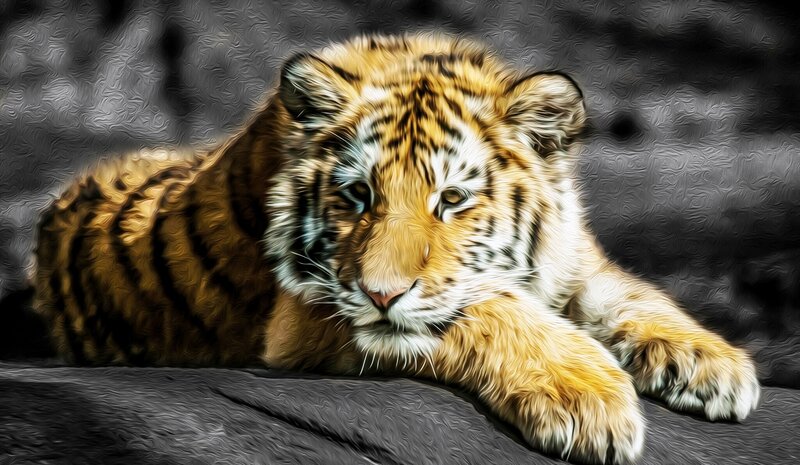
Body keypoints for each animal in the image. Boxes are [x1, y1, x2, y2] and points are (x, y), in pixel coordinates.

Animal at [33, 33, 760, 464]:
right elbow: (486, 308)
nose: (381, 293)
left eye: (452, 200)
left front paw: (715, 366)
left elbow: (632, 293)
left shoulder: (573, 262)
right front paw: (588, 400)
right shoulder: (309, 313)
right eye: (358, 195)